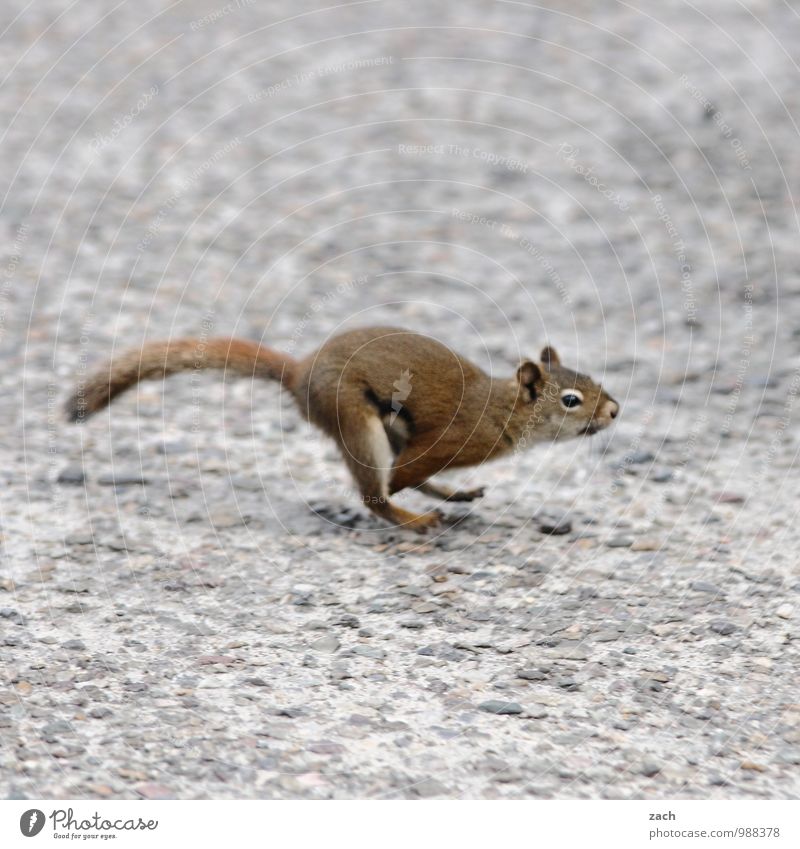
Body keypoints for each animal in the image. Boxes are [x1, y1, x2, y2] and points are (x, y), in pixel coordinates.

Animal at [69, 326, 620, 528]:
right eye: (571, 400)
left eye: (595, 381)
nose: (614, 411)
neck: (503, 412)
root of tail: (299, 376)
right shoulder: (448, 440)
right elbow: (405, 475)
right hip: (356, 422)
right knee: (376, 494)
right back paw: (412, 520)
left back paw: (452, 497)